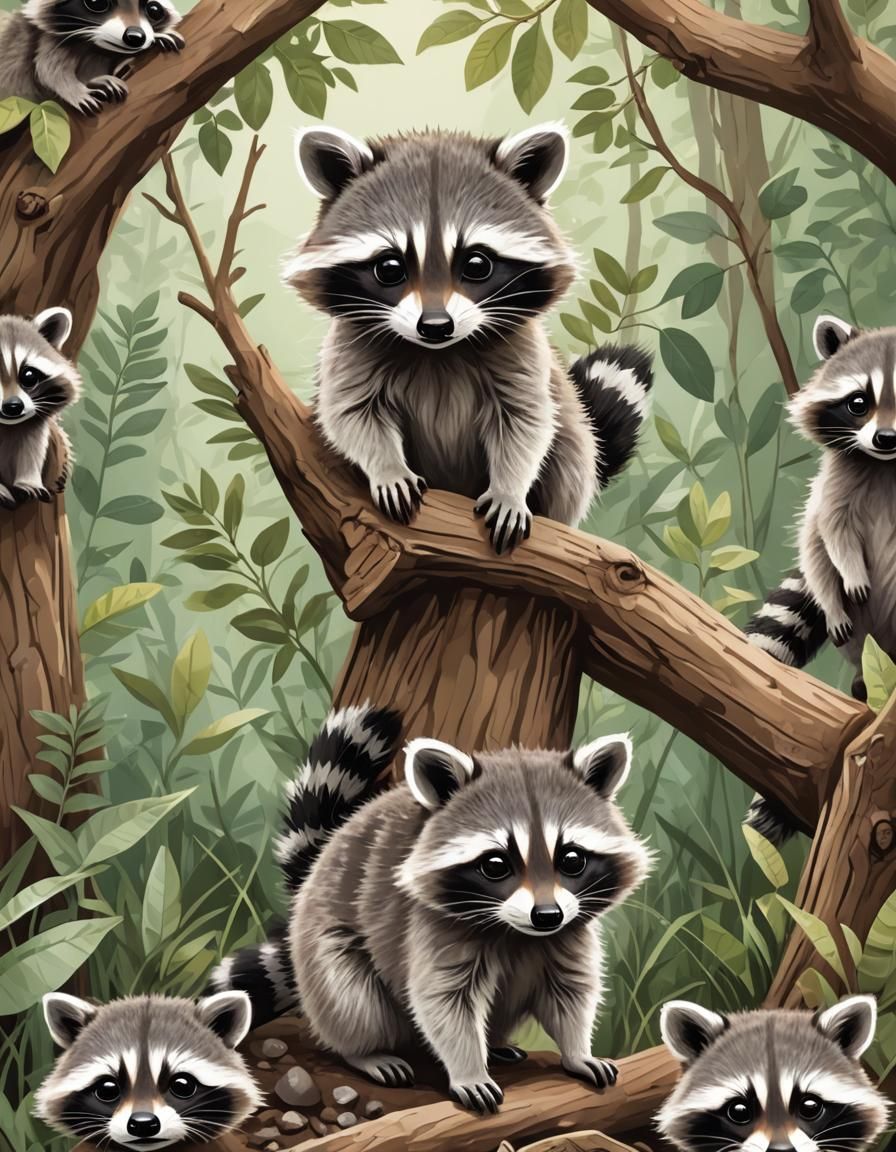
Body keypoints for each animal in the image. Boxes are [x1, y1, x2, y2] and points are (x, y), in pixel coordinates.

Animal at [0, 0, 184, 115]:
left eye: (154, 10)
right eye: (97, 3)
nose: (135, 37)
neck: (92, 42)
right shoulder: (50, 41)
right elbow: (49, 71)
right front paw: (76, 91)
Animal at [0, 308, 81, 508]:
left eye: (29, 376)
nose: (13, 406)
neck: (7, 426)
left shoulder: (33, 426)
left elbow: (31, 450)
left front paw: (28, 482)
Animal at [210, 703, 650, 1113]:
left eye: (572, 860)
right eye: (496, 864)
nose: (546, 915)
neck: (516, 931)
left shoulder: (568, 931)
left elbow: (571, 992)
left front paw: (577, 1051)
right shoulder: (431, 925)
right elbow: (444, 1002)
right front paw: (468, 1070)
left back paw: (495, 1043)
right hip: (325, 939)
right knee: (350, 997)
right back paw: (364, 1050)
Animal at [284, 124, 654, 553]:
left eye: (477, 264)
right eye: (390, 267)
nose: (435, 325)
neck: (439, 352)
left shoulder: (522, 351)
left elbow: (526, 421)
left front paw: (510, 490)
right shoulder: (351, 346)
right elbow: (351, 412)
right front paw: (387, 467)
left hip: (572, 458)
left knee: (570, 449)